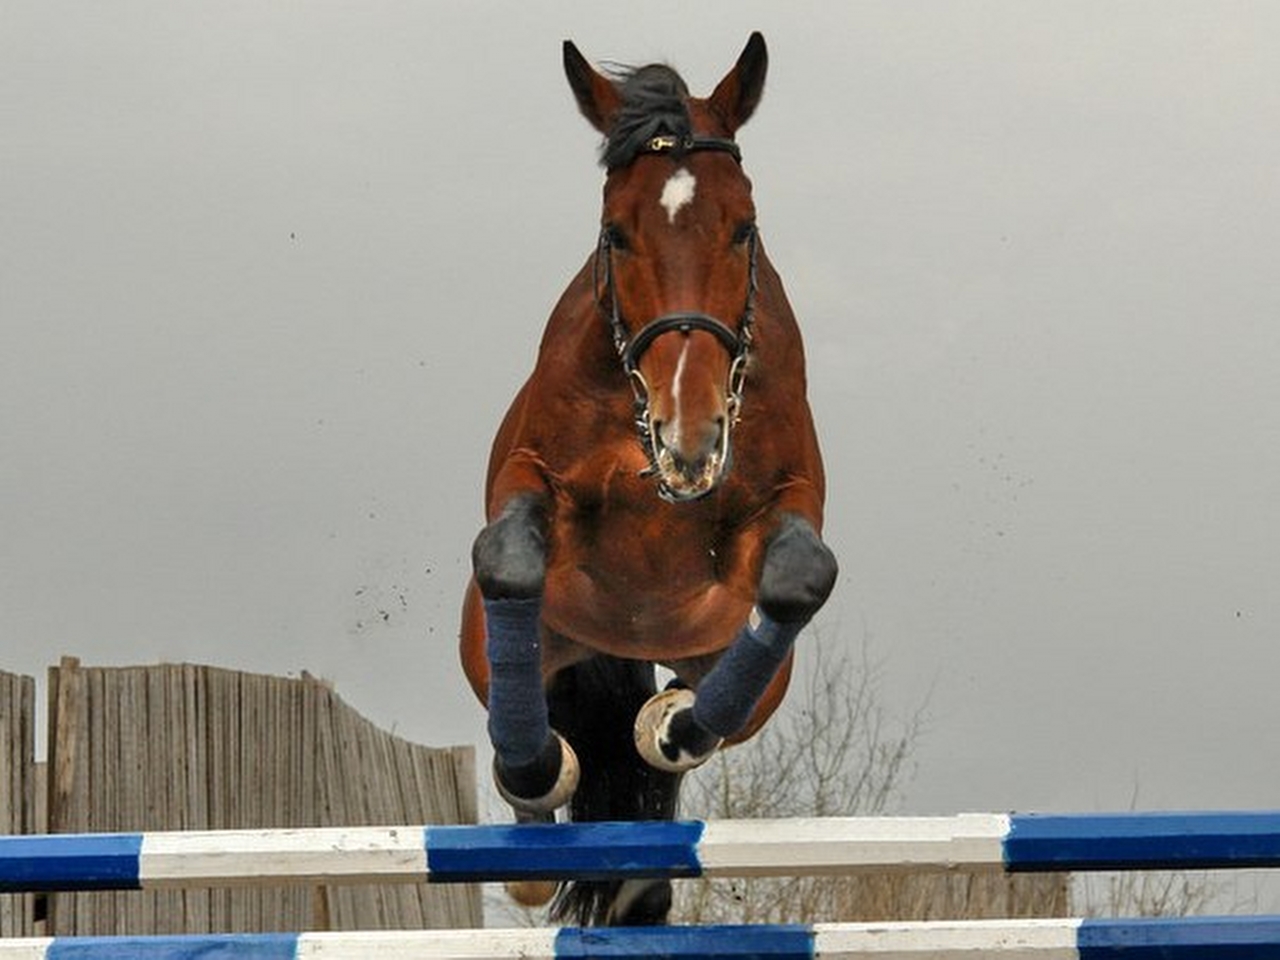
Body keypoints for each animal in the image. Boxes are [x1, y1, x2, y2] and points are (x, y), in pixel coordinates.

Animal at [460, 33, 839, 926]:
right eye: (616, 233)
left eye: (743, 228)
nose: (687, 434)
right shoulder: (529, 481)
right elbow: (509, 555)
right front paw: (534, 766)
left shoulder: (788, 500)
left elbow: (801, 575)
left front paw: (674, 730)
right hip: (501, 647)